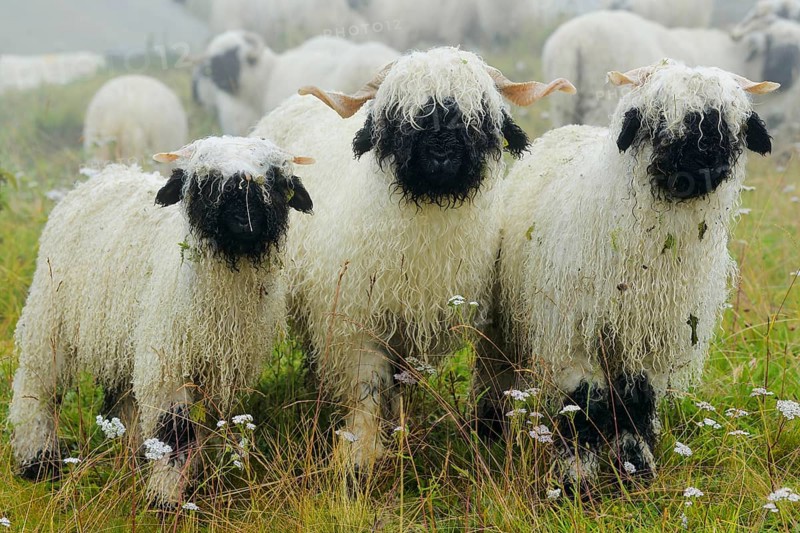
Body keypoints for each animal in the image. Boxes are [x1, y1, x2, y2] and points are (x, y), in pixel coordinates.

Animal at [8, 136, 314, 507]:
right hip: (51, 320)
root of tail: (103, 175)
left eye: (275, 180)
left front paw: (194, 481)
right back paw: (38, 462)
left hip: (123, 336)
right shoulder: (169, 363)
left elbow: (208, 426)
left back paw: (130, 453)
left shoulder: (220, 370)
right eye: (205, 183)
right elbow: (175, 432)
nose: (245, 216)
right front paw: (165, 499)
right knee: (37, 388)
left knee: (122, 396)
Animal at [251, 46, 576, 473]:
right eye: (398, 118)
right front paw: (361, 453)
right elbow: (367, 386)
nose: (440, 156)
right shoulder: (358, 319)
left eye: (478, 116)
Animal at [490, 60, 777, 493]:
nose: (704, 168)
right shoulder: (577, 332)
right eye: (657, 121)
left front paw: (636, 469)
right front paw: (575, 476)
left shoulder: (650, 336)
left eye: (732, 126)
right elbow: (583, 402)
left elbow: (637, 401)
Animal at [542, 10, 800, 146]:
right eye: (779, 49)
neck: (740, 56)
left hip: (562, 106)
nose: (784, 80)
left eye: (794, 52)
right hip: (601, 102)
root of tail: (574, 41)